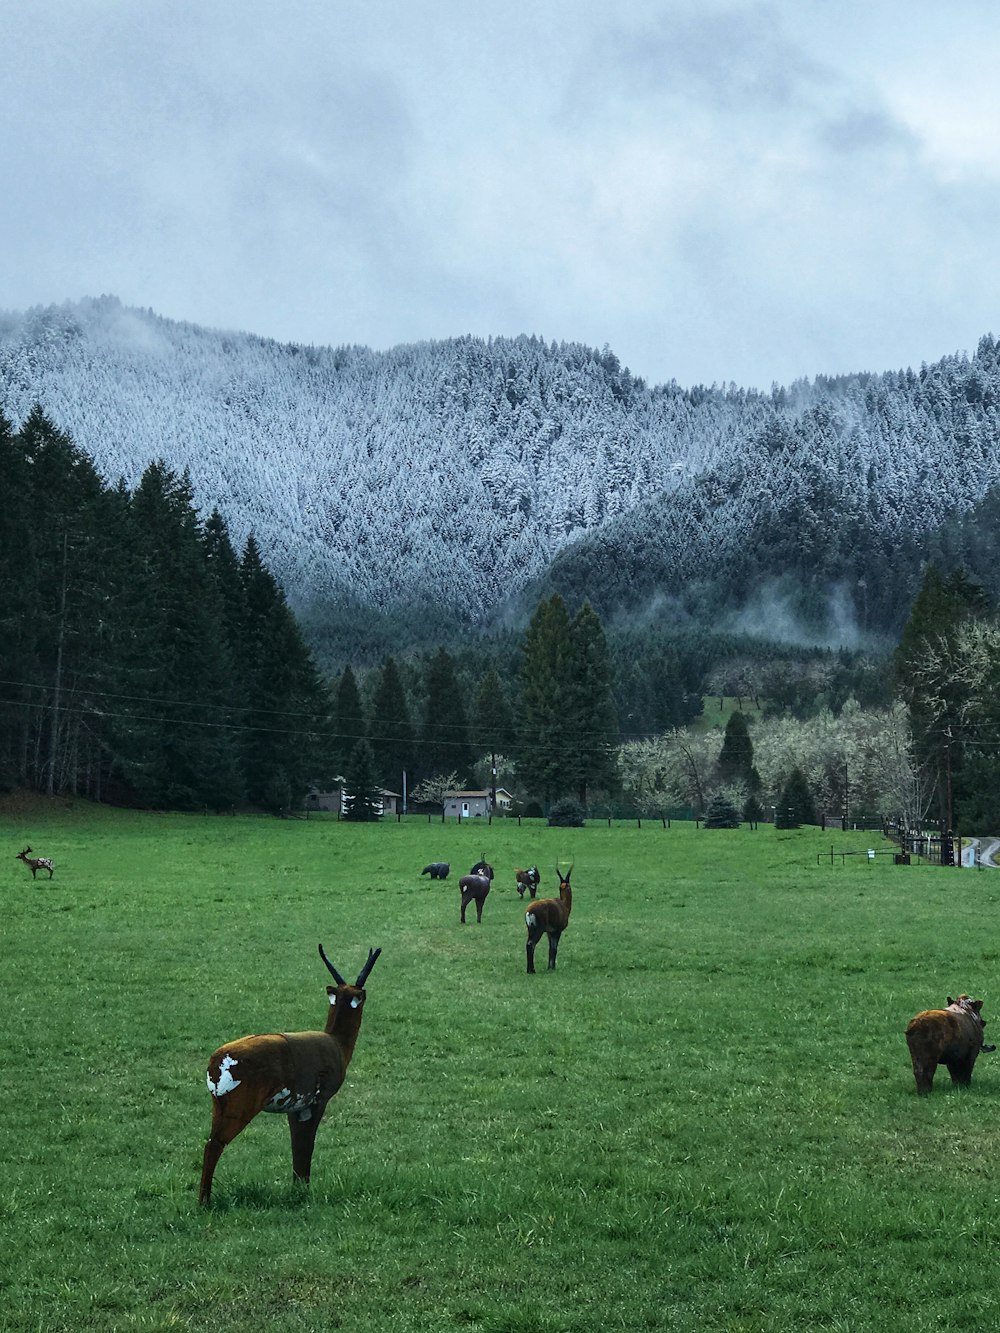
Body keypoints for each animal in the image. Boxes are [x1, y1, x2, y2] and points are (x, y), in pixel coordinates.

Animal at [200, 938, 378, 1210]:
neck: (336, 1043)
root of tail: (216, 1062)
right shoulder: (317, 1101)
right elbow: (307, 1144)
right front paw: (305, 1192)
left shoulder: (295, 1107)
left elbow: (297, 1145)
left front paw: (298, 1189)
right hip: (239, 1108)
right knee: (214, 1145)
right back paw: (205, 1202)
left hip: (218, 1107)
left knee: (209, 1143)